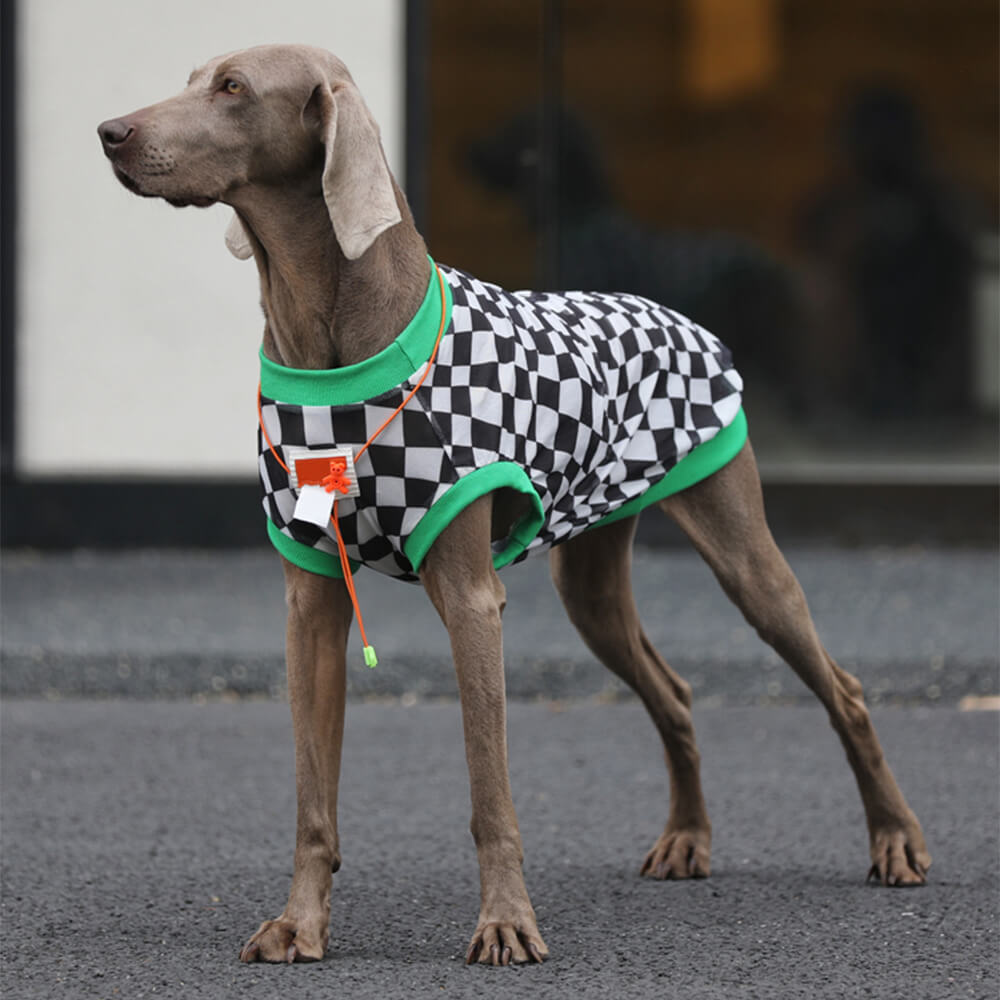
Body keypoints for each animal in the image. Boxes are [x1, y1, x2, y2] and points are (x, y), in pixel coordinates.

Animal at [99, 43, 928, 964]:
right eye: (190, 78)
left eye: (233, 88)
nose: (109, 132)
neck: (331, 339)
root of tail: (679, 313)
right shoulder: (309, 602)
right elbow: (314, 797)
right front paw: (299, 924)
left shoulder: (470, 600)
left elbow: (489, 793)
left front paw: (505, 923)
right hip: (591, 590)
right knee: (672, 691)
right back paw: (687, 839)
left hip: (744, 552)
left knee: (843, 688)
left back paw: (896, 841)